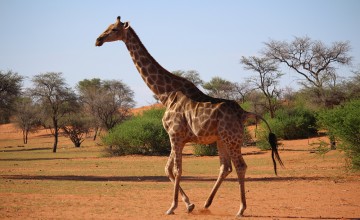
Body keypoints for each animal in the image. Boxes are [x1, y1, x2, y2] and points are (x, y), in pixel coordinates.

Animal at [96, 15, 284, 218]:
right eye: (107, 26)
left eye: (114, 29)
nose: (98, 40)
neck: (165, 94)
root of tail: (243, 112)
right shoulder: (178, 137)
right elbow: (168, 169)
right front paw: (189, 204)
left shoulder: (175, 134)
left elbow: (177, 170)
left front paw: (173, 207)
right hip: (222, 139)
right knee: (225, 167)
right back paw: (207, 203)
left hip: (232, 138)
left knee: (240, 166)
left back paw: (241, 209)